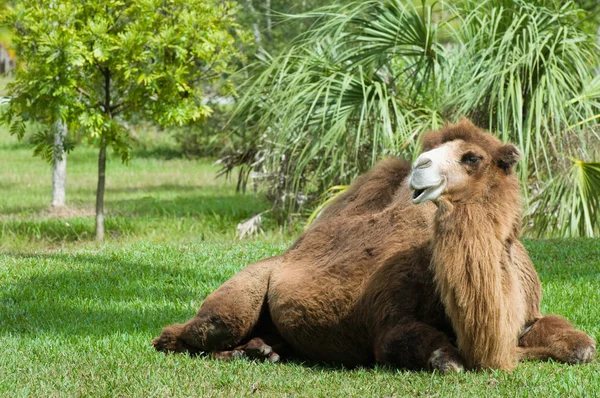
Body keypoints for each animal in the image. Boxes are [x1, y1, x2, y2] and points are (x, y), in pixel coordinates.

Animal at [151, 119, 596, 372]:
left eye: (472, 157)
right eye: (430, 151)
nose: (420, 166)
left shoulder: (528, 312)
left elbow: (582, 346)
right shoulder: (389, 322)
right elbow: (443, 359)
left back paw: (261, 351)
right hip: (240, 296)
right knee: (188, 334)